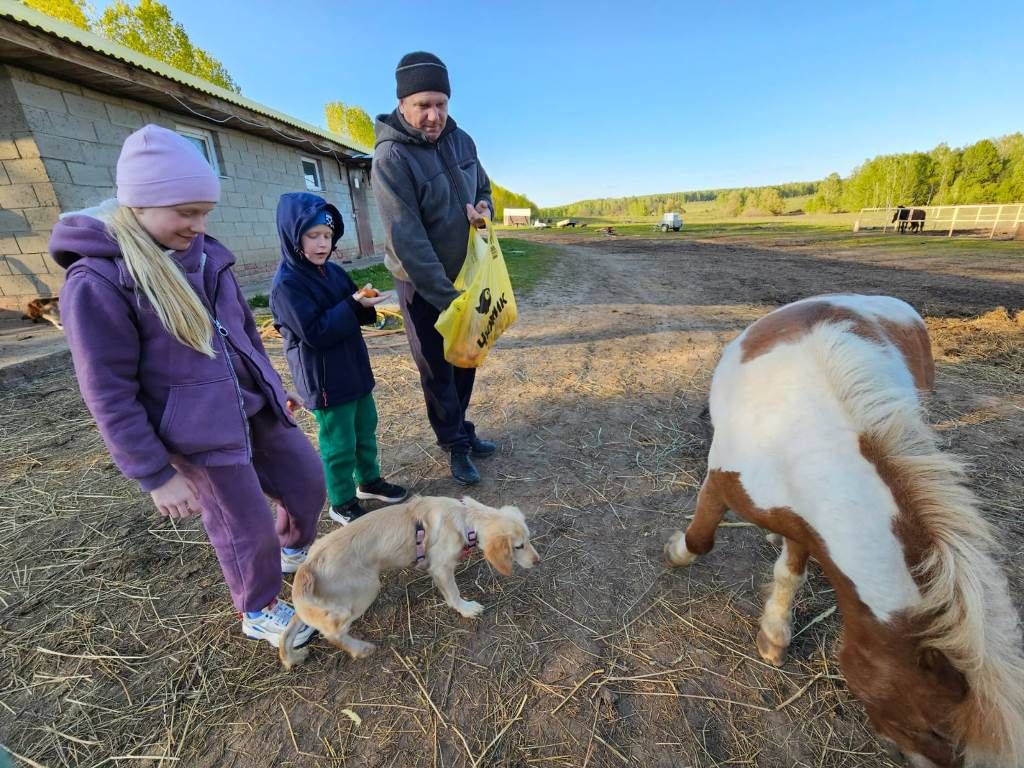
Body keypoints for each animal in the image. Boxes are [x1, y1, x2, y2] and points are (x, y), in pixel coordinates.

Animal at [276, 495, 540, 671]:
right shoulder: (441, 568)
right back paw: (360, 649)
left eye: (529, 539)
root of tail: (308, 566)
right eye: (518, 546)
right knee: (332, 631)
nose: (537, 561)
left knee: (295, 626)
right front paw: (467, 609)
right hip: (366, 588)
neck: (465, 519)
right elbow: (453, 595)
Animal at [663, 296, 1024, 768]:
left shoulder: (806, 525)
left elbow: (790, 573)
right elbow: (702, 539)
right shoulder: (721, 483)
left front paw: (773, 633)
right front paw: (675, 553)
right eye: (933, 727)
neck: (806, 440)